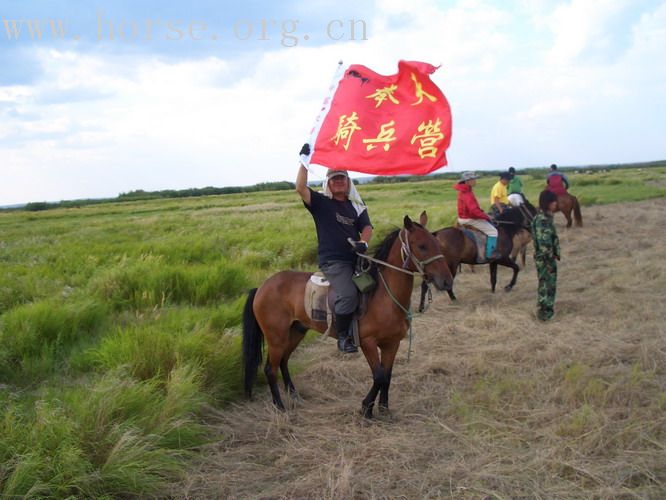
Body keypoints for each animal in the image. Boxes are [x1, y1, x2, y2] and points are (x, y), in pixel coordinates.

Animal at [241, 215, 454, 418]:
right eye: (422, 246)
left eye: (437, 242)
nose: (447, 281)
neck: (383, 297)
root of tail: (262, 287)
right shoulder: (368, 342)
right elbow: (379, 376)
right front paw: (366, 409)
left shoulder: (392, 344)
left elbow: (387, 376)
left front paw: (384, 409)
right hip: (276, 337)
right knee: (270, 369)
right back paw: (279, 406)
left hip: (296, 331)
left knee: (283, 361)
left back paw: (294, 395)